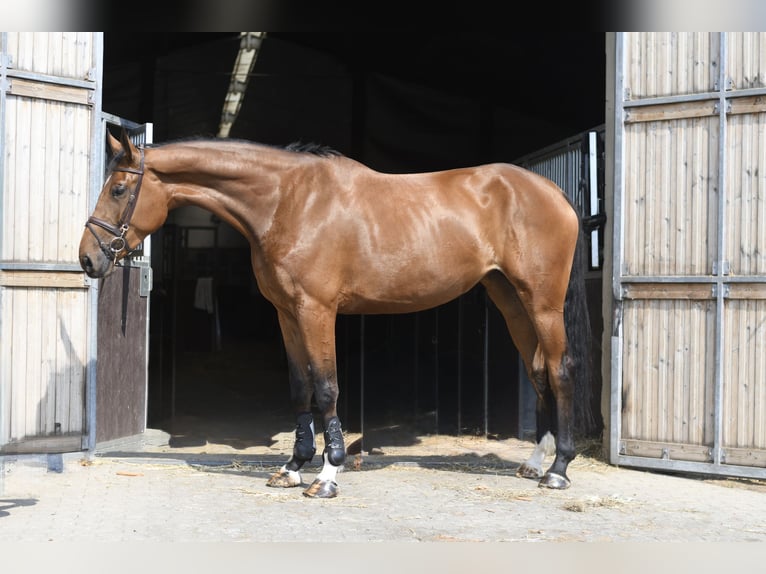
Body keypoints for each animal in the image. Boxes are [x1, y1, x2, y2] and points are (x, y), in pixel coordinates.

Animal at [79, 129, 593, 499]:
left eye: (119, 188)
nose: (87, 259)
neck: (288, 201)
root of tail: (554, 193)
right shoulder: (287, 314)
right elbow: (299, 388)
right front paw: (292, 467)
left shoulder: (316, 310)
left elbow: (326, 387)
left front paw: (327, 475)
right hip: (510, 299)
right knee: (538, 370)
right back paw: (535, 463)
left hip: (542, 303)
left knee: (562, 369)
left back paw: (559, 469)